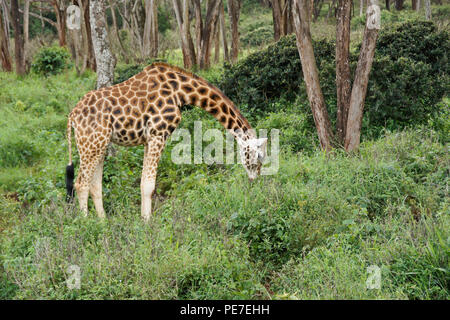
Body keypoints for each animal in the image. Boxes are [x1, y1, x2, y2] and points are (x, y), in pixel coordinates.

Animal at [67, 63, 268, 221]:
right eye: (258, 157)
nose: (255, 181)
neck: (181, 91)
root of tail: (72, 116)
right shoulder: (158, 133)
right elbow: (149, 185)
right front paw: (147, 224)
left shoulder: (149, 139)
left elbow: (143, 182)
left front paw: (143, 219)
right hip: (91, 144)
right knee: (80, 183)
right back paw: (88, 225)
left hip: (99, 144)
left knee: (95, 185)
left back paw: (103, 222)